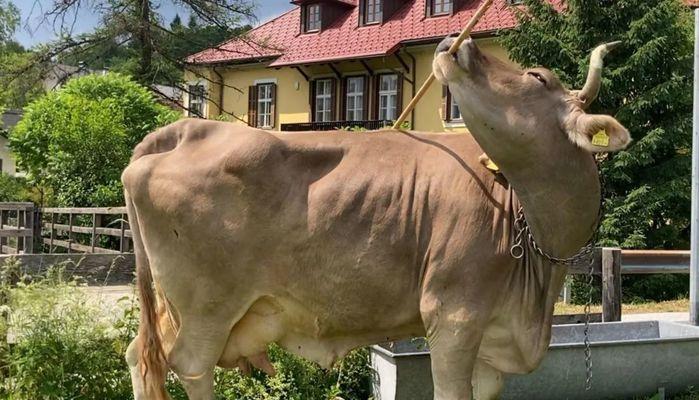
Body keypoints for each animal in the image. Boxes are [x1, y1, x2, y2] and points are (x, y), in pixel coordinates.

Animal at [123, 36, 630, 400]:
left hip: (174, 307)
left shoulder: (492, 343)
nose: (457, 42)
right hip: (207, 307)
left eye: (537, 76)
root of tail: (185, 129)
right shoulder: (453, 317)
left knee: (142, 360)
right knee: (190, 367)